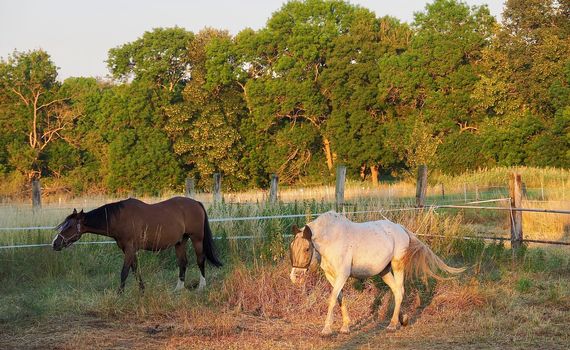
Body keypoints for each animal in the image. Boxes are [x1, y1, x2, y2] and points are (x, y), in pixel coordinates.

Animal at [52, 197, 222, 292]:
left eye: (69, 226)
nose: (55, 243)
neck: (119, 218)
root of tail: (196, 203)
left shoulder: (129, 249)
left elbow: (124, 272)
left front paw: (119, 294)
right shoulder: (129, 250)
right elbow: (135, 270)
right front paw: (142, 290)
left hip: (197, 239)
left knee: (200, 260)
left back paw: (202, 286)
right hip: (180, 241)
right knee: (183, 263)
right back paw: (178, 289)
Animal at [288, 211, 462, 336]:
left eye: (307, 249)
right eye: (291, 247)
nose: (295, 277)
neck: (331, 239)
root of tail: (400, 228)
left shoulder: (342, 275)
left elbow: (331, 299)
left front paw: (326, 330)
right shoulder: (332, 276)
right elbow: (340, 298)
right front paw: (345, 327)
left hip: (397, 266)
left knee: (400, 291)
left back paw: (392, 325)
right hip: (384, 272)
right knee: (396, 291)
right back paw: (402, 319)